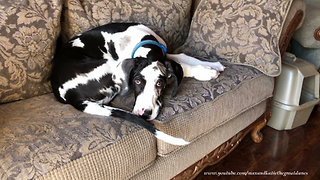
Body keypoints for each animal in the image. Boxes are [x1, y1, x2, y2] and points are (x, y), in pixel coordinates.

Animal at [50, 22, 225, 146]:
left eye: (159, 84)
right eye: (137, 81)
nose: (144, 114)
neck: (143, 41)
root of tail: (71, 97)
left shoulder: (166, 54)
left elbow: (183, 57)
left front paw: (213, 65)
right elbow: (185, 66)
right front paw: (205, 72)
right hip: (112, 65)